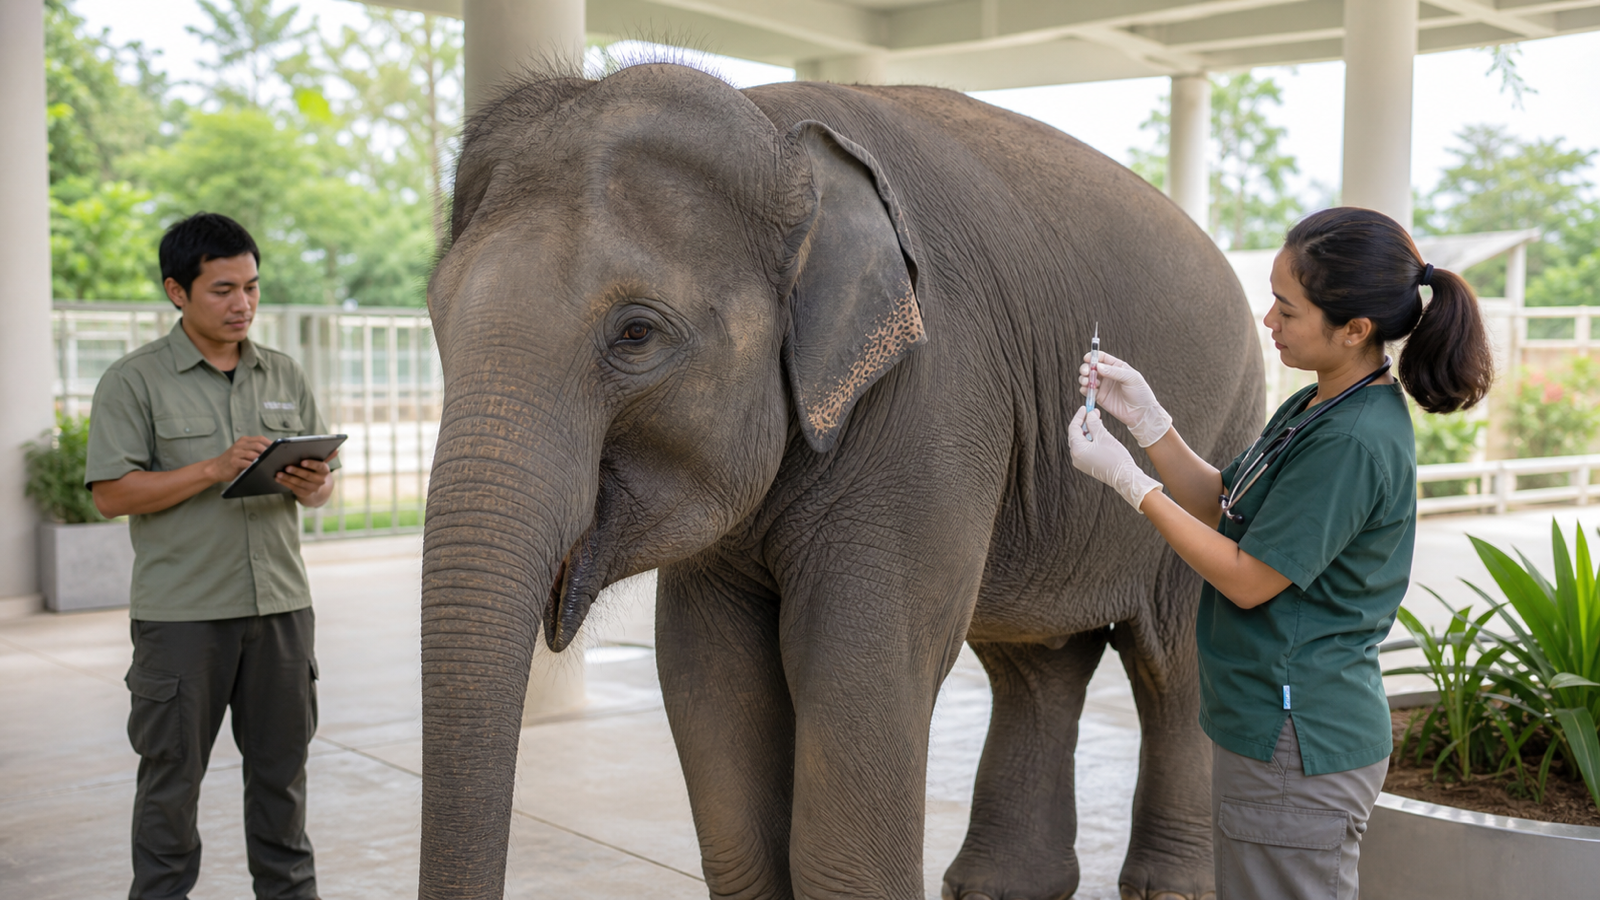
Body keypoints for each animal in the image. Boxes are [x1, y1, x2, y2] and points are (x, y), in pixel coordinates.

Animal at [420, 62, 1263, 900]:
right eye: (436, 314)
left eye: (636, 333)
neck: (774, 133)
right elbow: (708, 672)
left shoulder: (932, 401)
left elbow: (857, 672)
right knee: (1036, 667)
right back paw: (998, 887)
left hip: (1227, 428)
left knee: (1175, 662)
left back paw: (1172, 888)